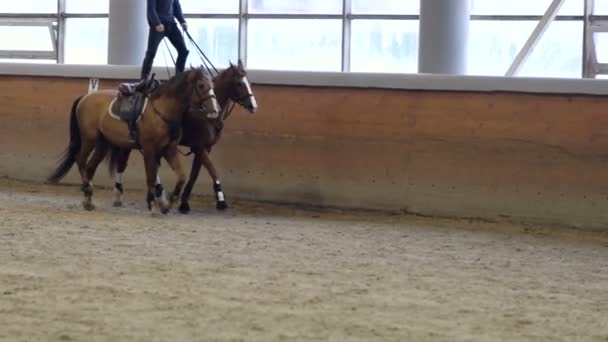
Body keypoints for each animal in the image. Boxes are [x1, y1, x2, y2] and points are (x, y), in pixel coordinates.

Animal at [48, 67, 221, 214]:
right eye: (201, 85)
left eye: (212, 84)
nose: (215, 110)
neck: (161, 110)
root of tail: (85, 98)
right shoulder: (149, 149)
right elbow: (151, 176)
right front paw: (152, 204)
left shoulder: (168, 149)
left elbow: (181, 176)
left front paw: (168, 202)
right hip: (89, 139)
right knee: (80, 160)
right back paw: (86, 189)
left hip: (102, 143)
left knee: (90, 166)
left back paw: (89, 199)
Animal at [109, 60, 256, 212]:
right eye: (239, 83)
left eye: (248, 82)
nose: (253, 105)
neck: (206, 116)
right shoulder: (199, 147)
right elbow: (211, 169)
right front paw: (220, 199)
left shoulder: (204, 149)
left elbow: (194, 174)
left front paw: (184, 201)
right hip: (129, 144)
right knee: (123, 164)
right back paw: (120, 195)